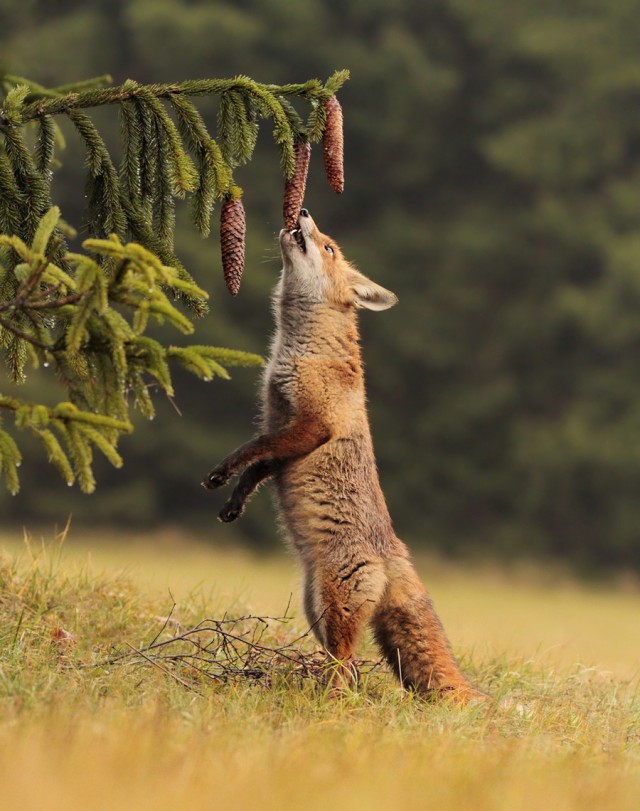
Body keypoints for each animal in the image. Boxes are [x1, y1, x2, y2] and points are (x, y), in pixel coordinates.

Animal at [204, 208, 480, 704]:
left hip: (335, 609)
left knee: (344, 666)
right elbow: (258, 469)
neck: (299, 348)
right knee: (348, 669)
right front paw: (234, 503)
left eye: (329, 247)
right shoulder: (284, 429)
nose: (302, 212)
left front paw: (221, 472)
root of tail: (395, 549)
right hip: (314, 608)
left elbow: (250, 452)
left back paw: (324, 702)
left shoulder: (312, 425)